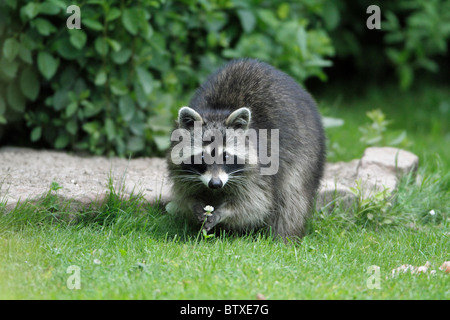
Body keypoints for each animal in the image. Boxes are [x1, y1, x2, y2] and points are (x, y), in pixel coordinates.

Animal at [167, 58, 326, 238]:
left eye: (226, 156)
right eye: (202, 157)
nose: (215, 184)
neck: (218, 111)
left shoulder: (261, 170)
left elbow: (255, 205)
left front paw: (224, 212)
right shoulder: (182, 172)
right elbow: (185, 194)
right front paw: (194, 205)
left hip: (306, 154)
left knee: (292, 199)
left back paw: (284, 236)